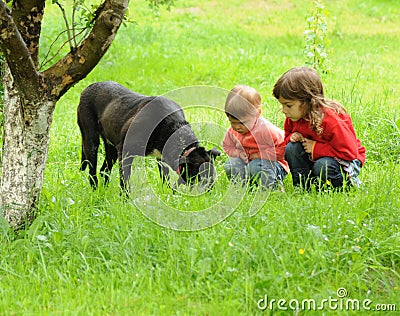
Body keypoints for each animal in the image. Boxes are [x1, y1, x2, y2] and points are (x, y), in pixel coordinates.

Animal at [76, 82, 220, 190]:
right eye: (200, 177)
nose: (210, 191)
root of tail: (87, 88)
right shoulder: (124, 153)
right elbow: (125, 180)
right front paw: (125, 201)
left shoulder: (162, 158)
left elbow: (165, 179)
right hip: (91, 141)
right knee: (92, 172)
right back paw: (95, 191)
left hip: (110, 147)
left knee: (103, 170)